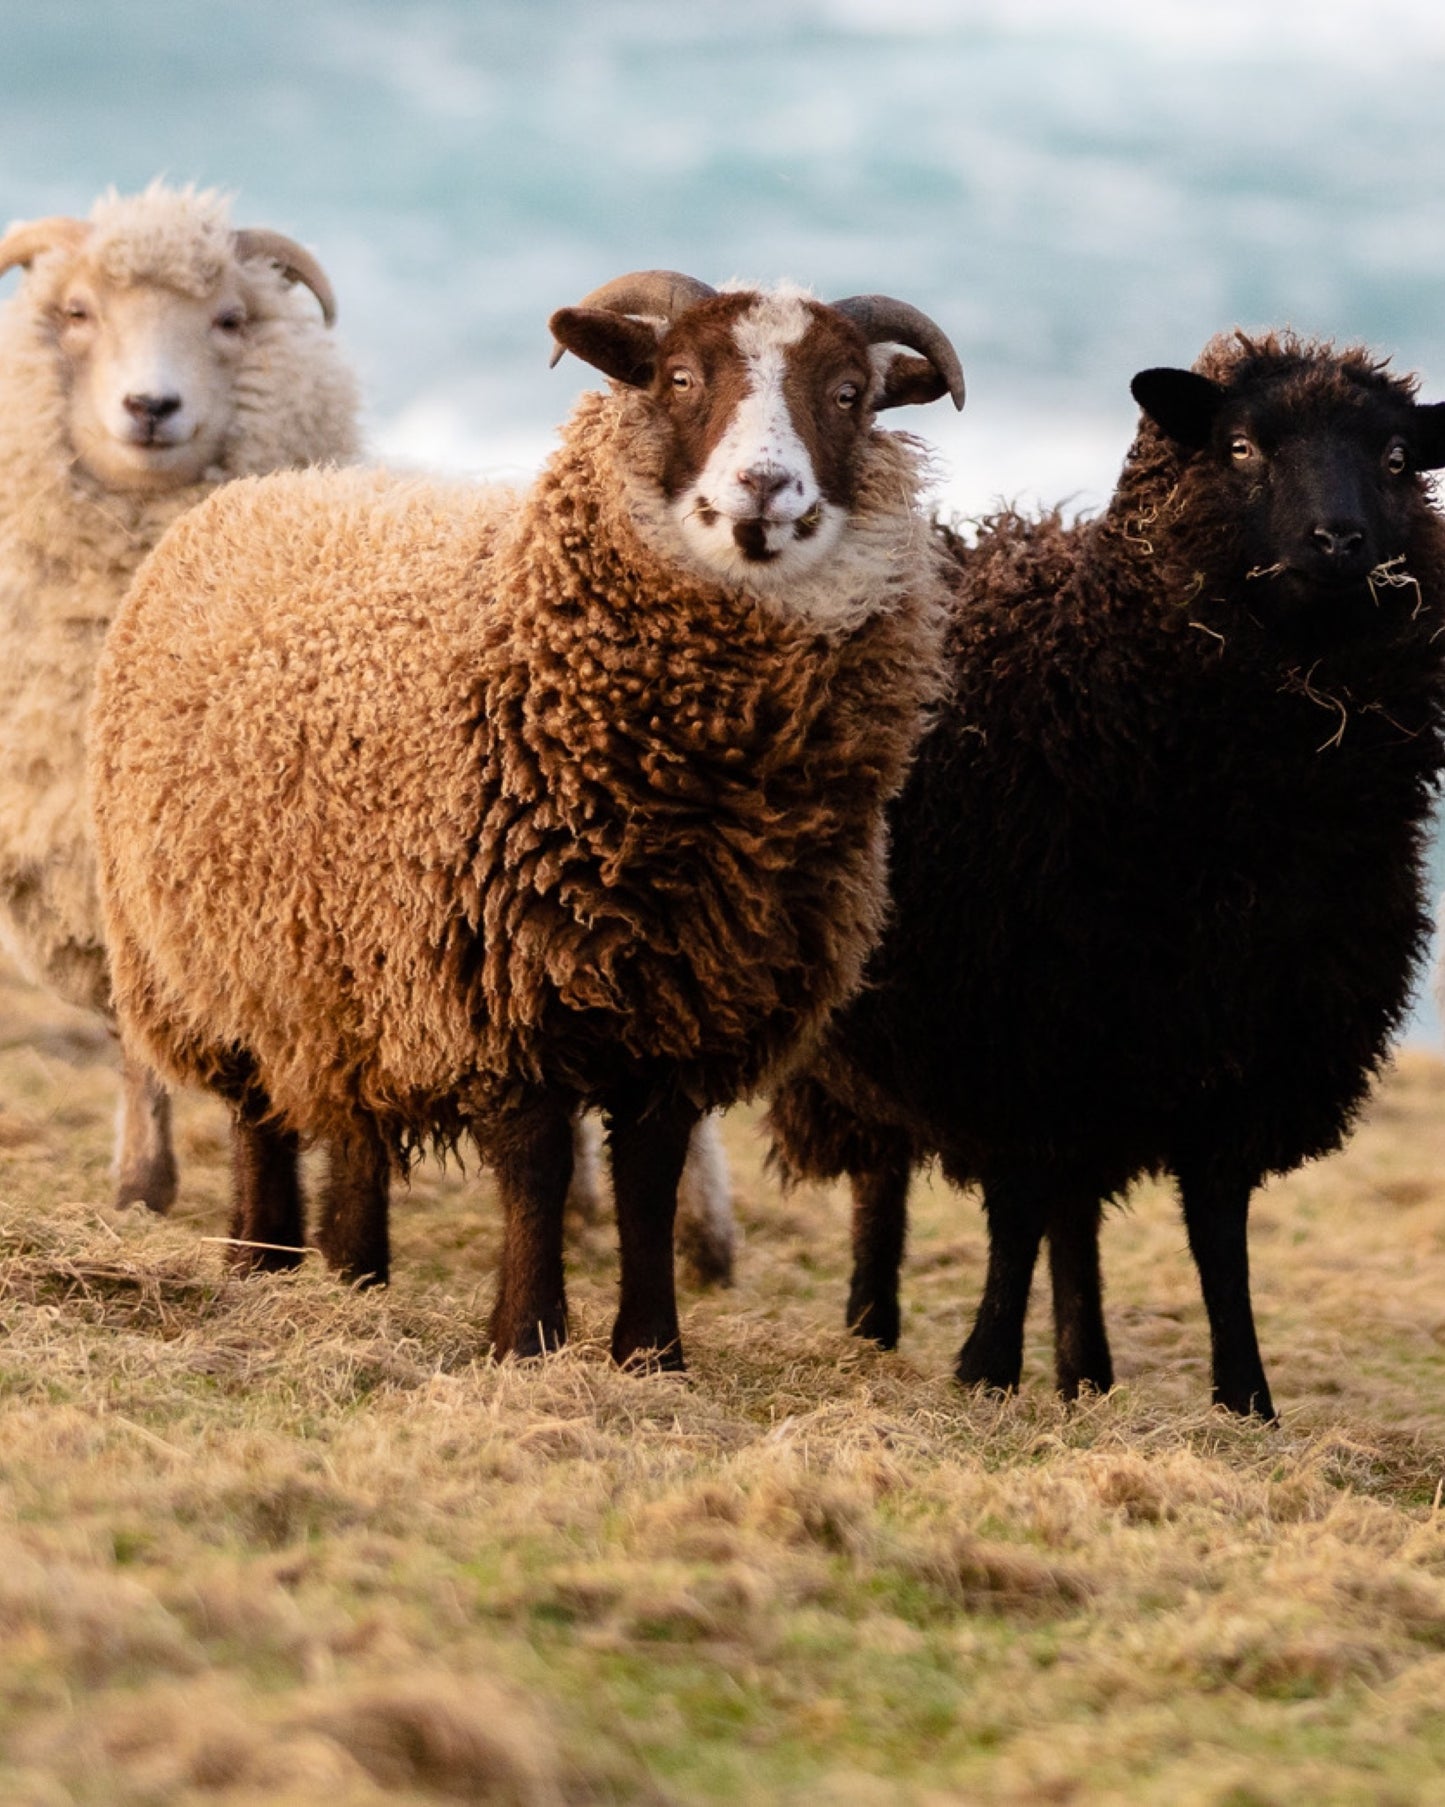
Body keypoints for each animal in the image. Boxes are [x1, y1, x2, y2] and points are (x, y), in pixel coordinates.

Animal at [773, 332, 1445, 1416]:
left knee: (1073, 1210)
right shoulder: (1007, 1026)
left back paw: (1083, 1368)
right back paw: (870, 1331)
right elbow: (1011, 1207)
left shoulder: (1242, 1037)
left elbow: (1216, 1229)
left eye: (1395, 459)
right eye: (1240, 445)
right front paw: (984, 1367)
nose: (1338, 541)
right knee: (887, 1178)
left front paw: (1244, 1397)